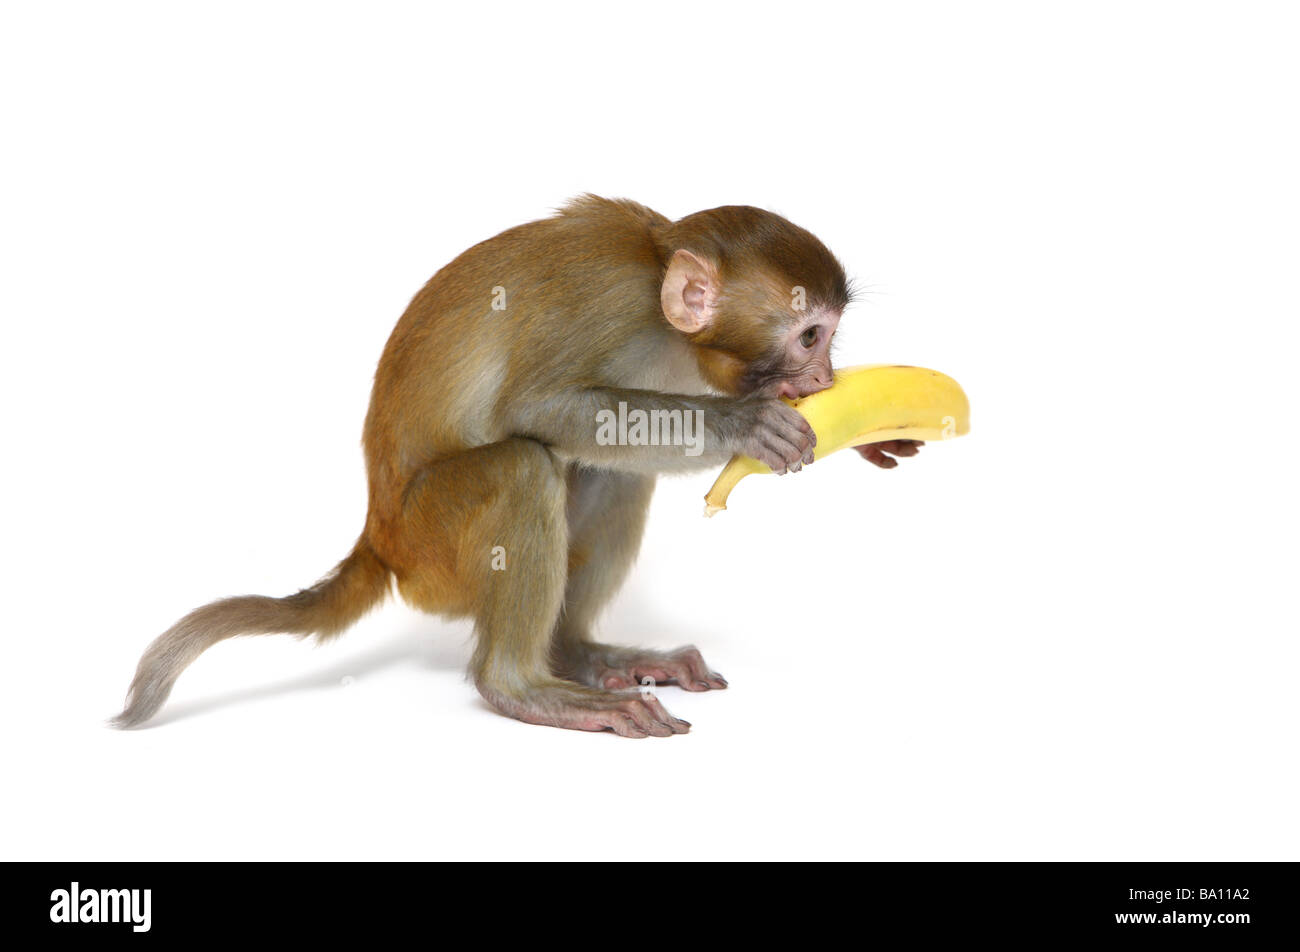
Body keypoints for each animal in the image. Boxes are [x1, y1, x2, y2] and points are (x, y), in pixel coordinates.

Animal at [114, 195, 923, 737]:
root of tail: (379, 537)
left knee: (616, 469)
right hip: (433, 553)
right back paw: (521, 687)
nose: (823, 379)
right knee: (522, 469)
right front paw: (745, 426)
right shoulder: (606, 305)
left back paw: (577, 652)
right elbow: (538, 408)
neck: (661, 296)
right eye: (811, 335)